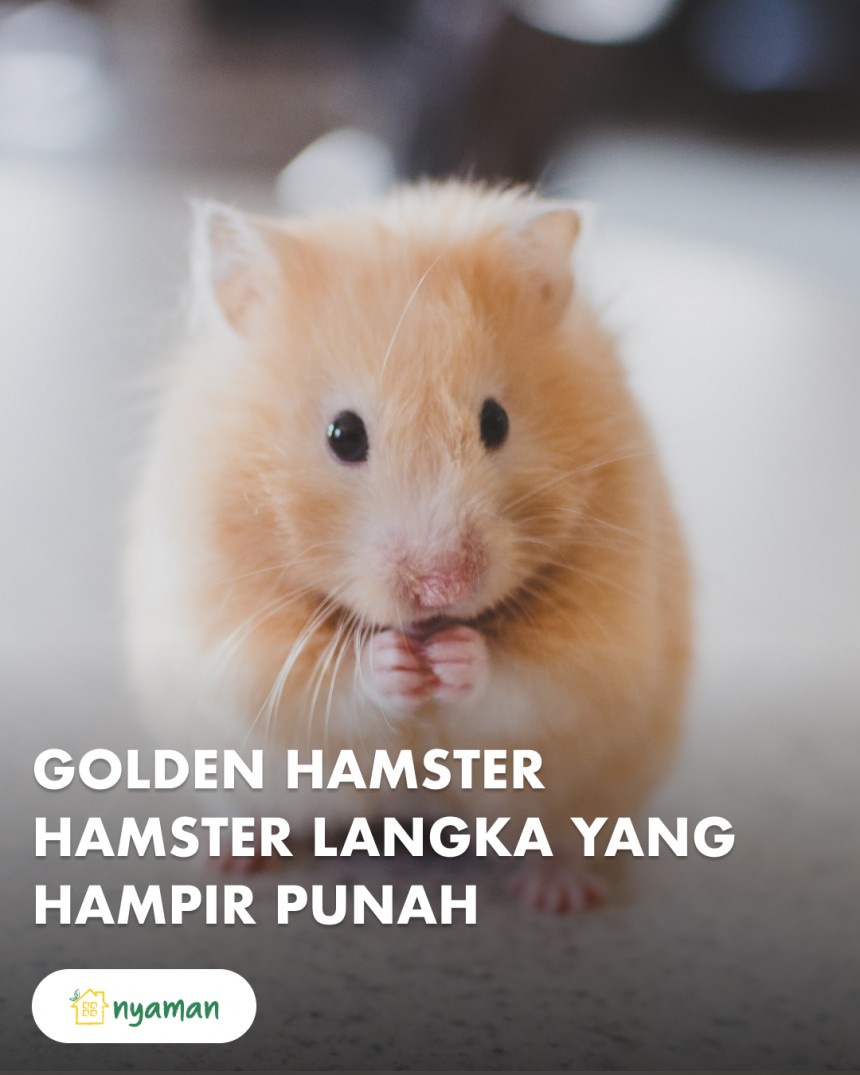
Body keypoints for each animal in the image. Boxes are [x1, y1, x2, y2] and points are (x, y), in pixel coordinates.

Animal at [124, 181, 691, 912]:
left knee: (566, 833)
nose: (443, 587)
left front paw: (454, 657)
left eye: (496, 421)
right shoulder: (232, 636)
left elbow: (525, 685)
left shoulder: (600, 644)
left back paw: (557, 894)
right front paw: (394, 662)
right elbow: (328, 689)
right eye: (343, 435)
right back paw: (228, 859)